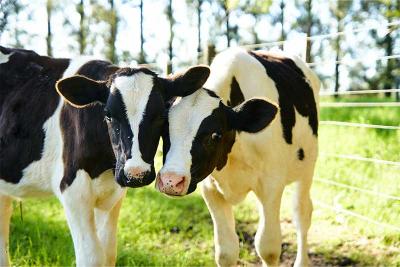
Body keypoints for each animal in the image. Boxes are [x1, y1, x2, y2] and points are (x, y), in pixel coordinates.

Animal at [0, 47, 211, 266]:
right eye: (109, 115)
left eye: (161, 115)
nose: (136, 174)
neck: (105, 168)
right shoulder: (73, 191)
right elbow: (92, 257)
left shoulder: (114, 194)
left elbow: (108, 252)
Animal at [158, 48, 320, 267]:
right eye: (164, 129)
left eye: (215, 135)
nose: (171, 181)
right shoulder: (210, 189)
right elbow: (226, 252)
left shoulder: (271, 184)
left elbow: (268, 247)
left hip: (307, 167)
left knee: (301, 214)